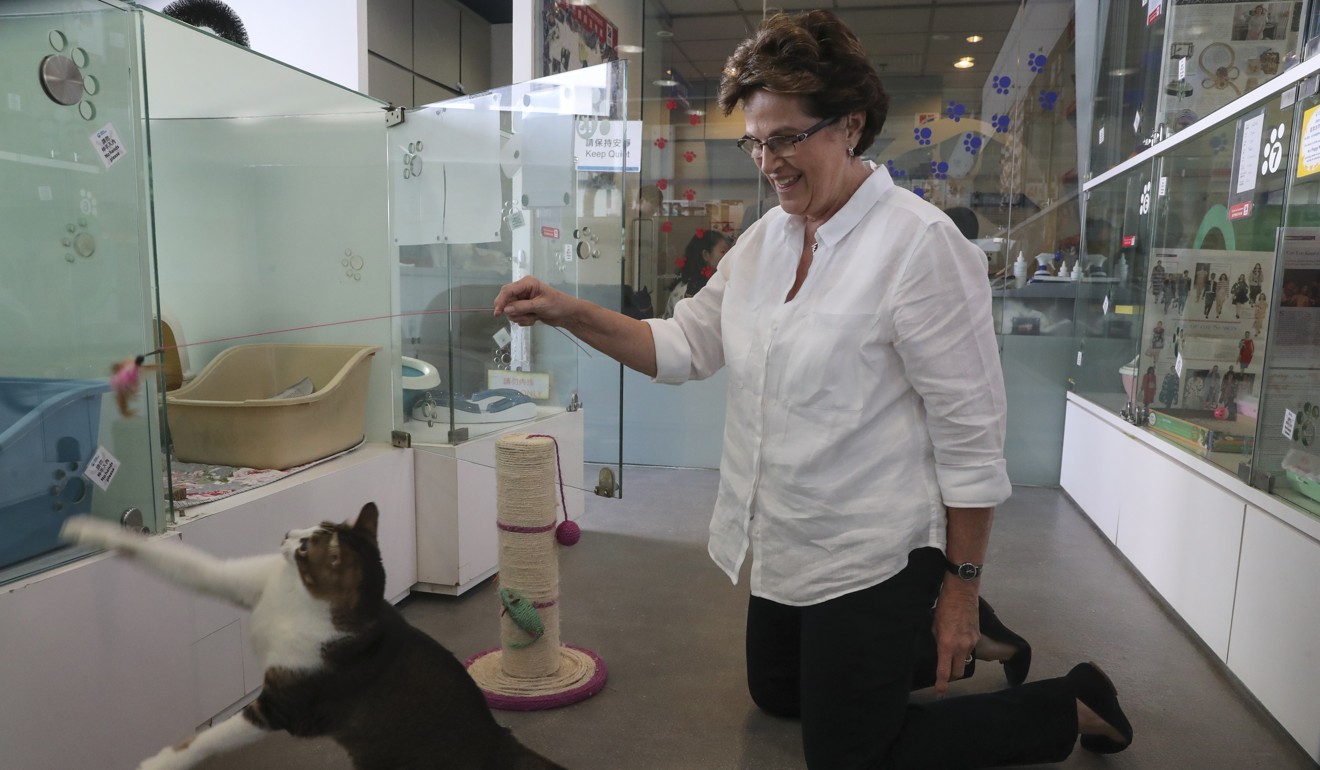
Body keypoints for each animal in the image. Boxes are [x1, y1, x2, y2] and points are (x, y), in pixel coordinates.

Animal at [59, 507, 564, 770]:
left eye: (306, 548)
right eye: (312, 526)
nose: (286, 532)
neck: (298, 599)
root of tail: (502, 745)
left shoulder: (282, 704)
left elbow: (205, 740)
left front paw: (156, 763)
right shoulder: (237, 581)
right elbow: (184, 564)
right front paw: (86, 528)